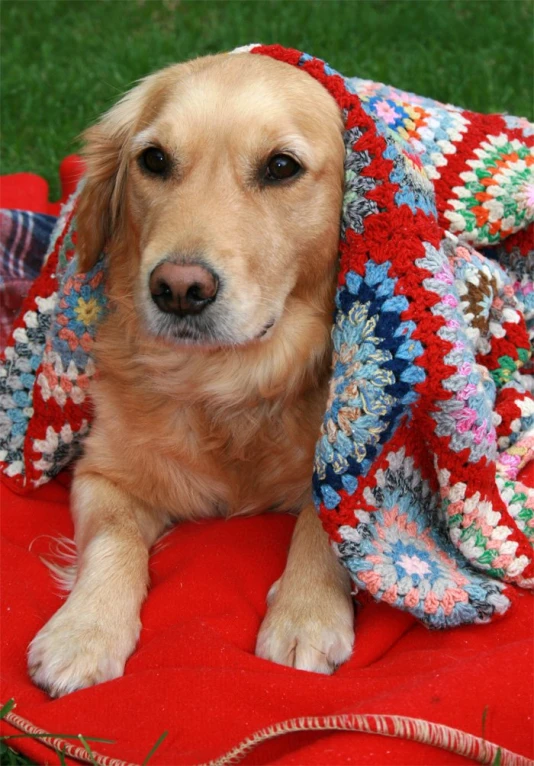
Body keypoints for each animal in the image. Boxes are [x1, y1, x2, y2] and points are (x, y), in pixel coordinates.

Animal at [28, 52, 356, 704]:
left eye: (282, 167)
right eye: (154, 160)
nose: (178, 289)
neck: (228, 383)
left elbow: (325, 519)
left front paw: (306, 613)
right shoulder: (104, 473)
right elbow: (114, 540)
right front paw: (84, 630)